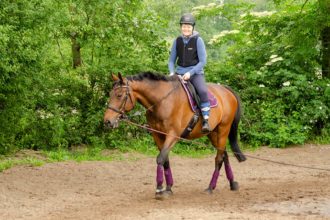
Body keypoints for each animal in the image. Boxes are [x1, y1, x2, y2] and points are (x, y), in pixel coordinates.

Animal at [103, 72, 245, 198]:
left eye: (119, 95)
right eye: (110, 94)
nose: (107, 121)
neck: (162, 101)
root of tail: (226, 89)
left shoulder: (173, 135)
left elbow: (160, 158)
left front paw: (159, 189)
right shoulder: (158, 135)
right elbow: (165, 159)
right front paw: (168, 188)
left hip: (223, 130)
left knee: (219, 158)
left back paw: (210, 187)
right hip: (213, 133)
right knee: (224, 154)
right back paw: (232, 183)